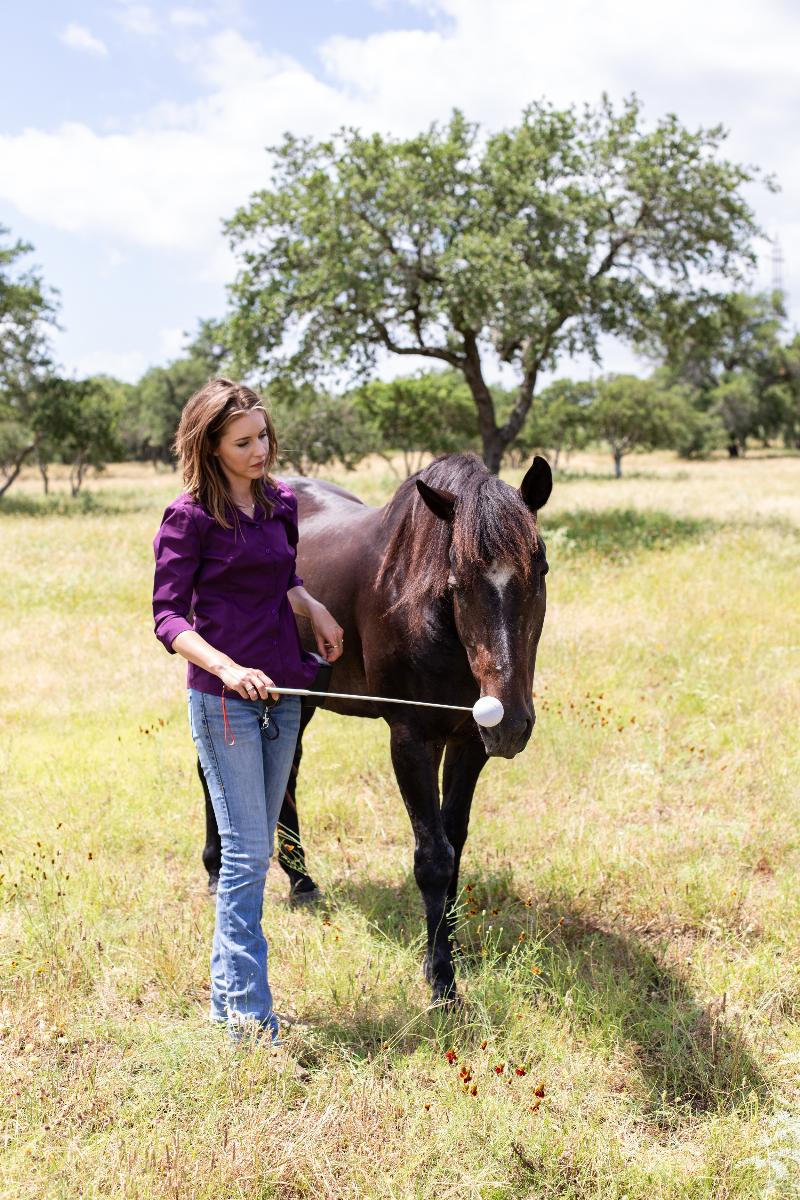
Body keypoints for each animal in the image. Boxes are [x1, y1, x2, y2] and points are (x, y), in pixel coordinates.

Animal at [200, 452, 552, 1003]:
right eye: (457, 584)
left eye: (540, 571)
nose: (512, 723)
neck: (424, 610)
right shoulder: (411, 740)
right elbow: (433, 857)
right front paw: (442, 983)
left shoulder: (468, 742)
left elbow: (454, 845)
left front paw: (450, 951)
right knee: (209, 770)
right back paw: (218, 870)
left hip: (299, 699)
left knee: (287, 774)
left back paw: (302, 881)